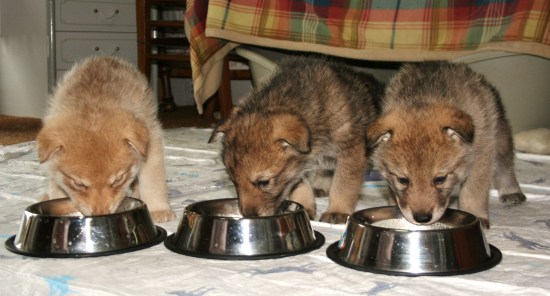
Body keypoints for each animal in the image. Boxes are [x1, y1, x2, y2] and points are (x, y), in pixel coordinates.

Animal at [37, 56, 175, 222]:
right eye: (79, 184)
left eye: (117, 180)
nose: (101, 214)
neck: (94, 104)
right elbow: (57, 188)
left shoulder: (152, 145)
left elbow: (153, 182)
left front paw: (158, 210)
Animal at [209, 55, 382, 223]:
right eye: (233, 181)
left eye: (263, 182)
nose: (248, 215)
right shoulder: (299, 166)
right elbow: (300, 185)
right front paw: (305, 206)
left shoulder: (352, 152)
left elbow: (344, 185)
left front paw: (338, 211)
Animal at [368, 60, 528, 227]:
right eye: (402, 180)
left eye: (440, 179)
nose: (422, 218)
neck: (424, 99)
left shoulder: (481, 157)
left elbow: (474, 190)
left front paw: (476, 214)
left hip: (501, 139)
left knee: (505, 166)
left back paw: (512, 191)